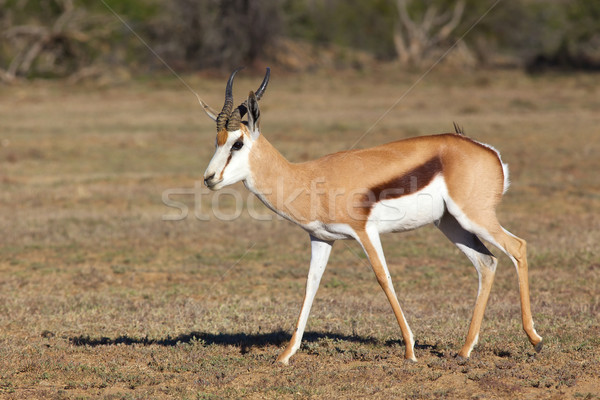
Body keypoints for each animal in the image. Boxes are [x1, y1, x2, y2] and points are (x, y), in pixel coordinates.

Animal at [200, 68, 544, 362]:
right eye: (217, 141)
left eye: (237, 143)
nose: (209, 178)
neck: (309, 179)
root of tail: (487, 151)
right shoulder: (321, 239)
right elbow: (310, 286)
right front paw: (285, 355)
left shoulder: (365, 232)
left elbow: (383, 278)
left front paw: (410, 350)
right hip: (450, 224)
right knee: (487, 263)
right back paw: (464, 350)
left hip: (475, 217)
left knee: (518, 247)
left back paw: (535, 339)